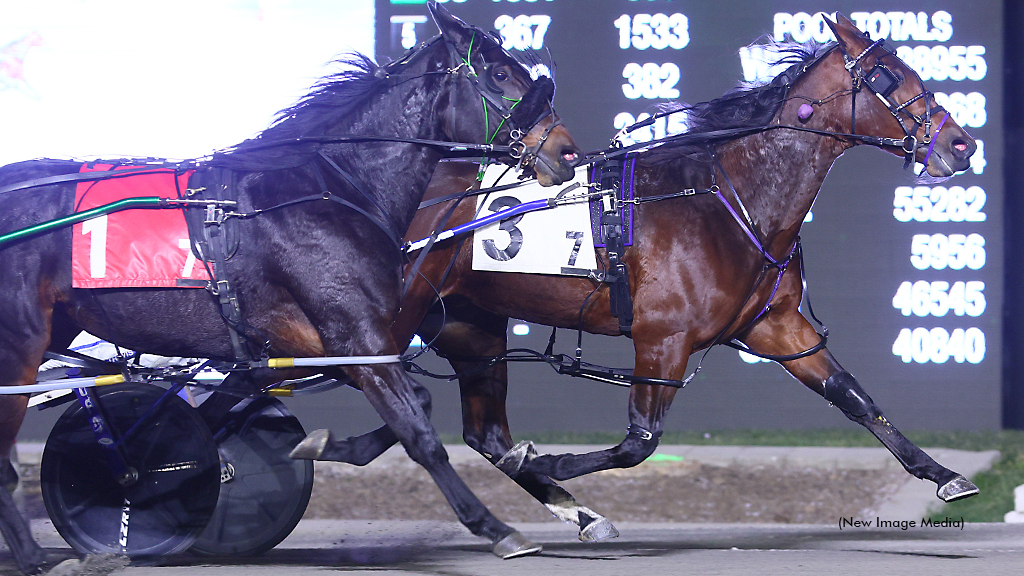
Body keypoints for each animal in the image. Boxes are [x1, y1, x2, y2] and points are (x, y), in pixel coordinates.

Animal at [0, 3, 581, 569]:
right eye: (501, 73)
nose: (568, 152)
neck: (328, 191)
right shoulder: (353, 334)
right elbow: (418, 431)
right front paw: (495, 528)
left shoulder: (321, 343)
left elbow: (410, 402)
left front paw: (312, 446)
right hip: (21, 341)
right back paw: (38, 557)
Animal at [294, 13, 974, 537]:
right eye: (887, 77)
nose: (961, 145)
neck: (729, 199)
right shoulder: (663, 339)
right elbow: (639, 442)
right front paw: (552, 463)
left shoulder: (775, 326)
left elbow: (855, 397)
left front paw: (945, 476)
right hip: (382, 317)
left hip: (469, 324)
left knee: (478, 429)